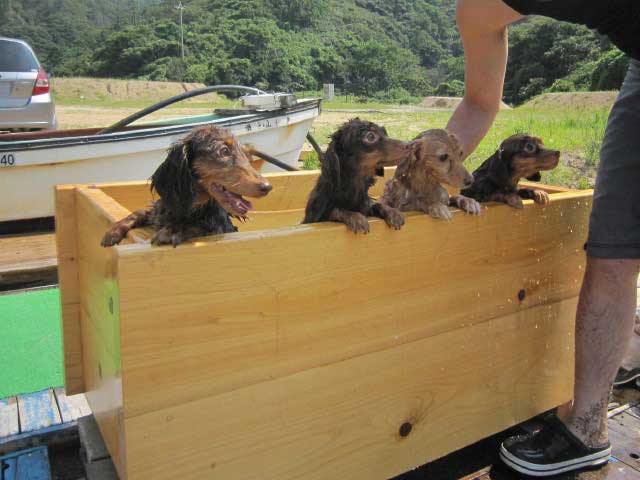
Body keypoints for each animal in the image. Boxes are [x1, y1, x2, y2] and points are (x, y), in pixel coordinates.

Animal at [101, 125, 272, 247]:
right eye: (224, 151)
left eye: (245, 154)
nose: (267, 187)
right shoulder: (159, 211)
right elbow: (140, 211)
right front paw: (113, 231)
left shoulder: (219, 228)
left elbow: (201, 227)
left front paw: (174, 230)